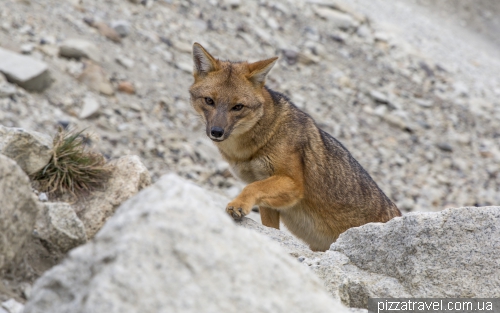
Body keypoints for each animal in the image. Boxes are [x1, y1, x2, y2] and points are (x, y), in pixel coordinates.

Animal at [188, 42, 402, 251]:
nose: (216, 132)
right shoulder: (270, 203)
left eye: (238, 107)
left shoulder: (293, 184)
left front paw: (238, 204)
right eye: (209, 101)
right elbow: (268, 221)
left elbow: (251, 187)